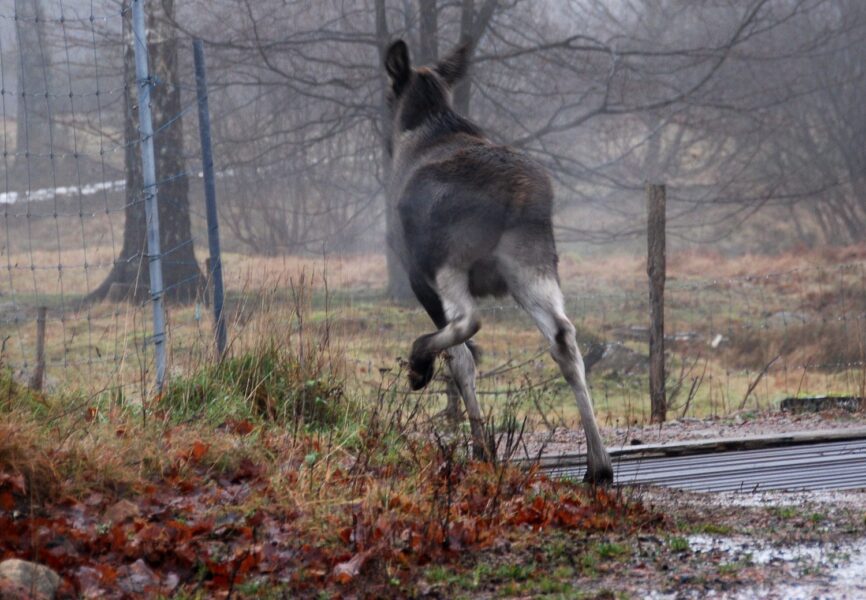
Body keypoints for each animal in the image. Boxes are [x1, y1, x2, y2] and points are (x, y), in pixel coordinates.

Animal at [384, 41, 616, 482]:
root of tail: (521, 193)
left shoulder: (416, 273)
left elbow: (462, 359)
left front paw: (481, 447)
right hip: (533, 262)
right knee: (564, 338)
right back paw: (599, 465)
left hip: (449, 259)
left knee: (468, 325)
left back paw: (422, 366)